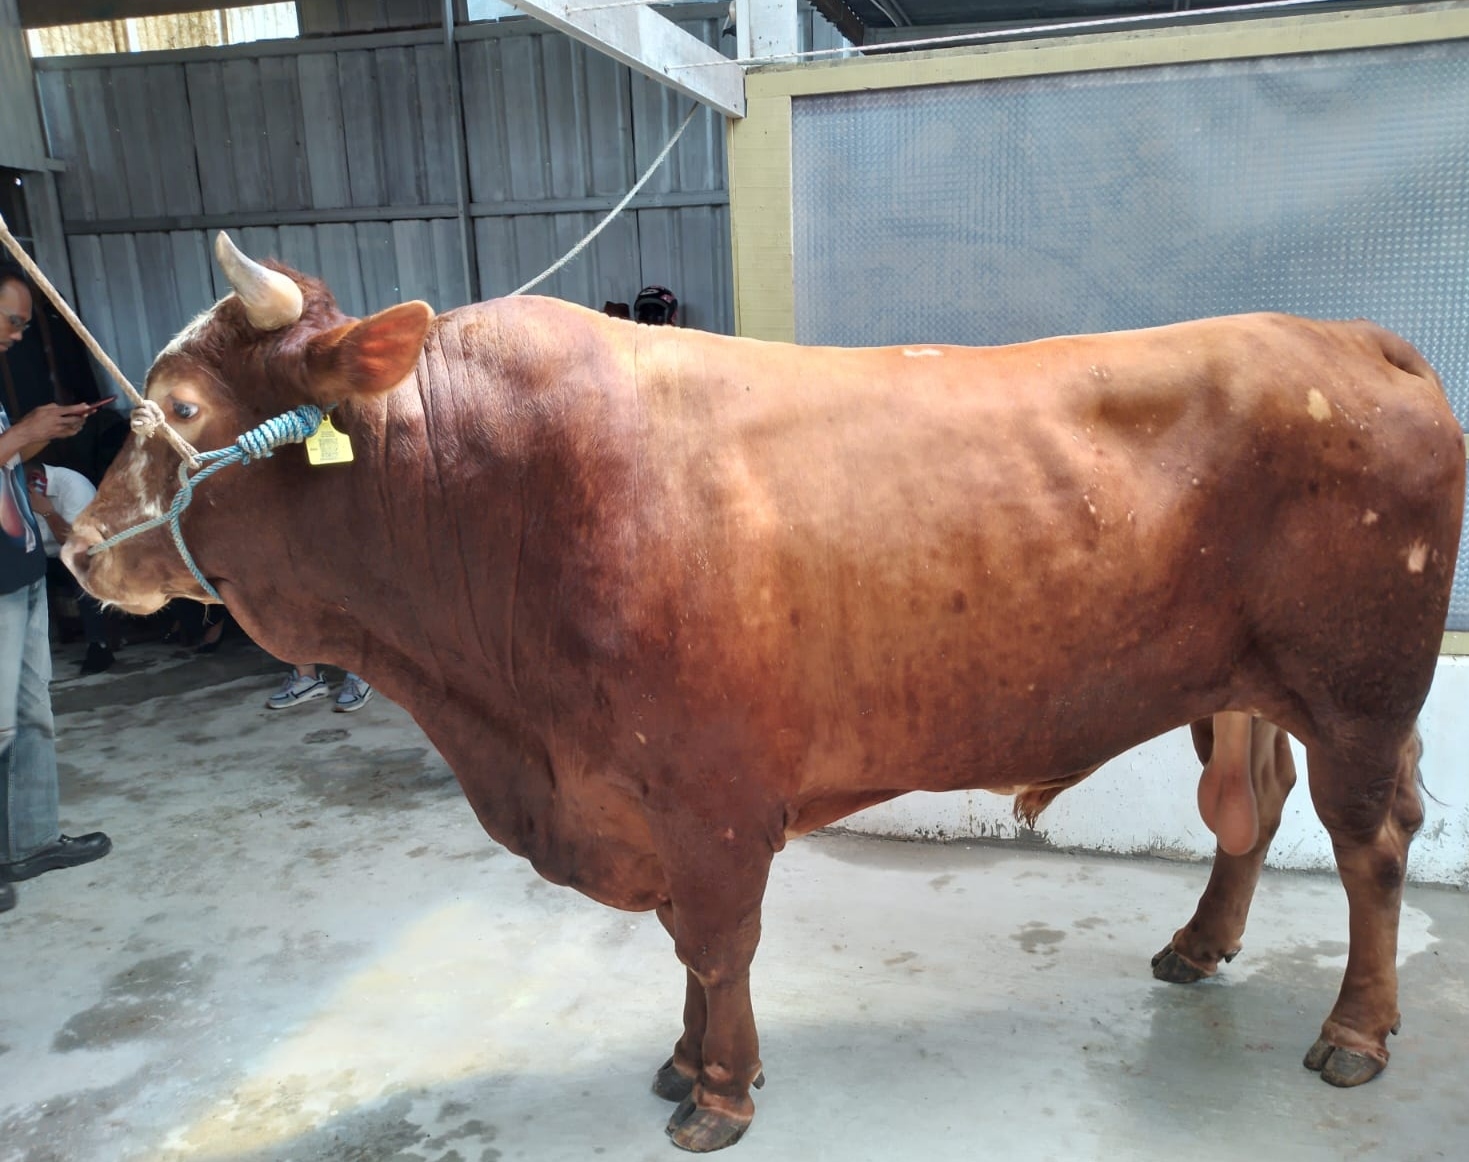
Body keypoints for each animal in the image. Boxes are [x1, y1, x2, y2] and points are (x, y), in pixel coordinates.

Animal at [66, 236, 1457, 1151]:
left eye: (180, 406)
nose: (77, 551)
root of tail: (1346, 338)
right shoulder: (644, 795)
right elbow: (688, 947)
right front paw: (681, 1063)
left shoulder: (709, 791)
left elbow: (716, 941)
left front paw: (720, 1091)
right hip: (1247, 686)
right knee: (1247, 812)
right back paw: (1196, 944)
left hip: (1358, 690)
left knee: (1368, 844)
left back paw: (1355, 1029)